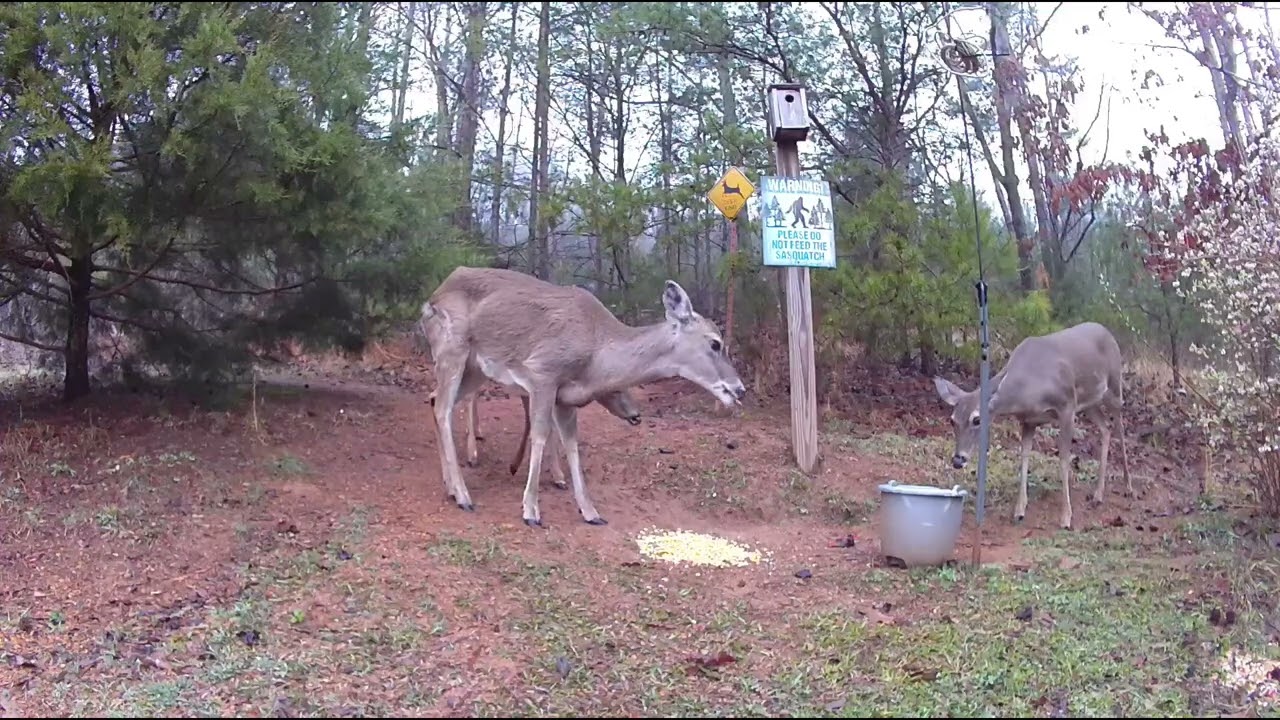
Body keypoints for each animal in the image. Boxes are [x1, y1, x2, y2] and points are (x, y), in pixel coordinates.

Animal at [420, 267, 746, 527]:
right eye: (715, 343)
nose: (739, 388)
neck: (595, 351)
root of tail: (431, 299)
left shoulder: (567, 397)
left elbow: (572, 445)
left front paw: (591, 512)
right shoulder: (543, 373)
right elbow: (540, 435)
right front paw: (531, 511)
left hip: (475, 368)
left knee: (435, 399)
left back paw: (451, 487)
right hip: (453, 348)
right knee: (444, 407)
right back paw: (463, 495)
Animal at [931, 321, 1134, 531]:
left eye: (977, 419)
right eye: (952, 419)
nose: (958, 460)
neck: (1028, 389)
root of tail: (1107, 331)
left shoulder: (1067, 406)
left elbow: (1064, 459)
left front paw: (1066, 517)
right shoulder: (1028, 420)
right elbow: (1024, 457)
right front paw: (1019, 510)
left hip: (1114, 385)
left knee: (1119, 427)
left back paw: (1128, 486)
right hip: (1090, 403)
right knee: (1106, 428)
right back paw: (1098, 495)